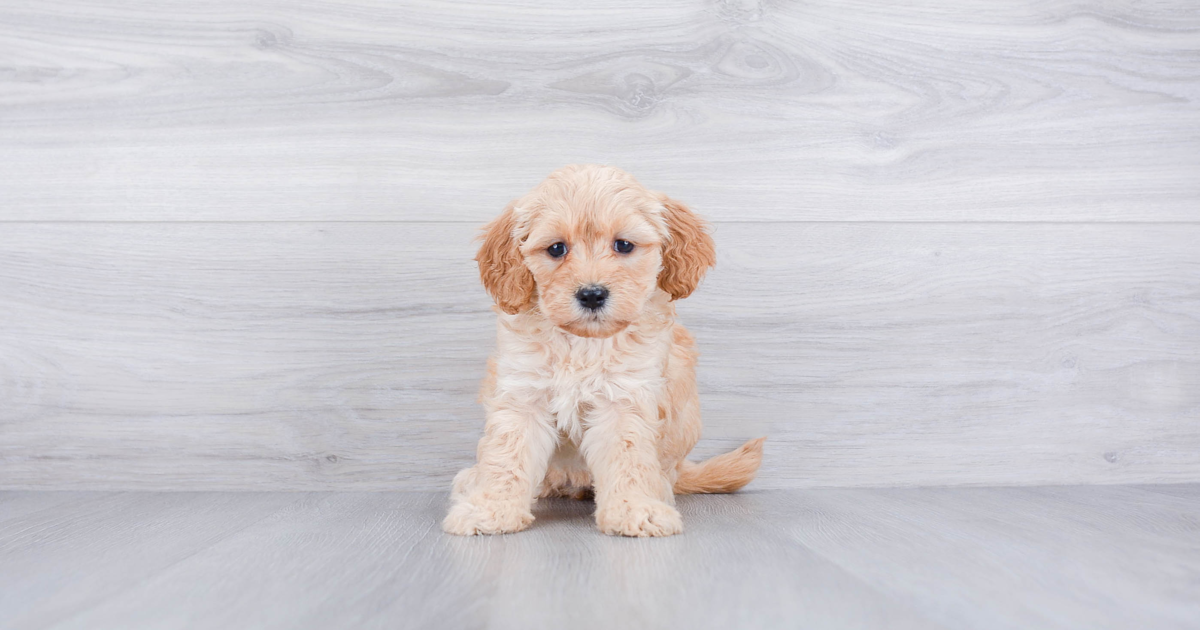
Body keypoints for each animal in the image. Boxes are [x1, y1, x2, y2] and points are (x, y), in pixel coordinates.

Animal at [446, 163, 763, 535]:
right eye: (556, 249)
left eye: (623, 245)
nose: (592, 294)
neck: (582, 343)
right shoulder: (523, 393)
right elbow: (507, 454)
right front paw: (490, 508)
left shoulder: (624, 398)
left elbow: (628, 458)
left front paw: (634, 509)